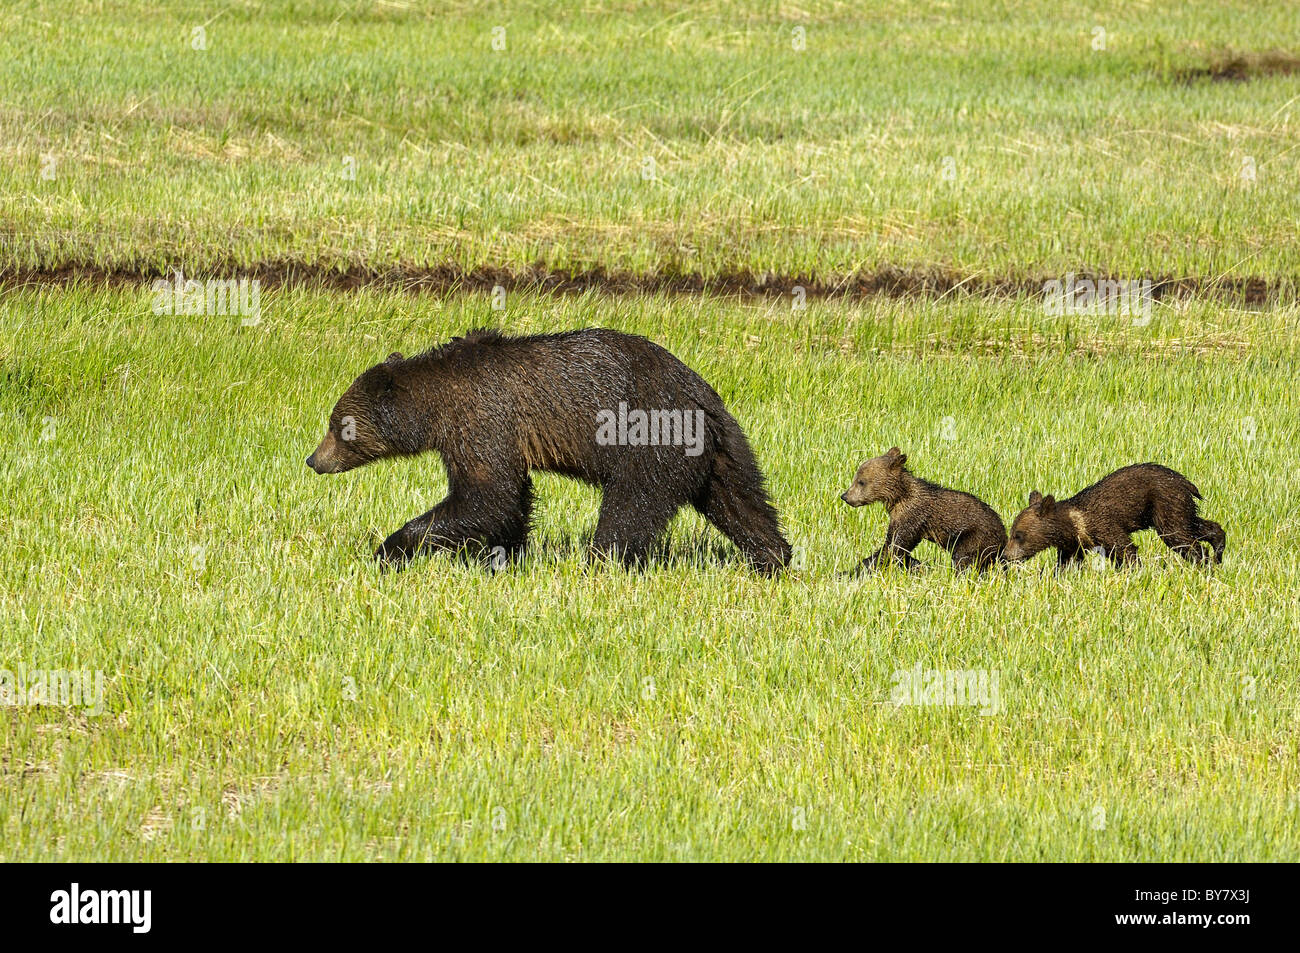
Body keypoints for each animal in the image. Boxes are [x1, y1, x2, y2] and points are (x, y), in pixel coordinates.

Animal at [306, 327, 792, 573]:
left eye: (337, 425)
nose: (314, 460)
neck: (436, 403)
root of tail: (702, 399)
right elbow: (509, 499)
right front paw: (500, 557)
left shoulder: (483, 420)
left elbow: (486, 496)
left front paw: (390, 550)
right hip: (721, 451)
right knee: (743, 502)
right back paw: (774, 558)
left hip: (651, 442)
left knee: (629, 509)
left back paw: (599, 563)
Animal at [840, 447, 1007, 573]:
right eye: (856, 478)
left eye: (861, 481)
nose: (845, 496)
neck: (899, 497)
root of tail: (1004, 535)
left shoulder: (911, 515)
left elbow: (894, 546)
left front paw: (853, 570)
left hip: (975, 537)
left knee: (964, 559)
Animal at [1004, 462, 1225, 567]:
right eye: (1013, 532)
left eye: (1018, 535)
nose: (1005, 555)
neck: (1075, 525)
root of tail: (1186, 482)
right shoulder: (1074, 544)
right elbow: (1068, 562)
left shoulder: (1103, 524)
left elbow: (1125, 548)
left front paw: (1134, 570)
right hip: (1178, 506)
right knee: (1194, 525)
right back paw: (1217, 551)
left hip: (1164, 502)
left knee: (1179, 535)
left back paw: (1202, 561)